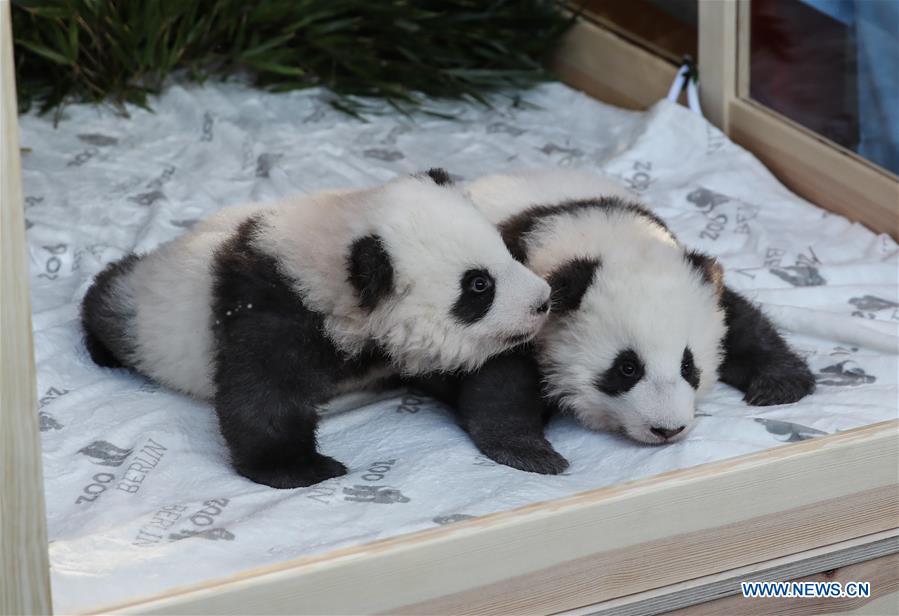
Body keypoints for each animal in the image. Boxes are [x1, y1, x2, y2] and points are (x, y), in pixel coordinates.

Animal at [80, 170, 552, 488]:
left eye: (507, 252)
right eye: (479, 285)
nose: (543, 301)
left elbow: (490, 380)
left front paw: (527, 450)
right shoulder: (271, 307)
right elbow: (263, 395)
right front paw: (302, 469)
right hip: (150, 312)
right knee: (110, 299)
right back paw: (100, 343)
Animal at [413, 169, 815, 474]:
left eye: (688, 366)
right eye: (627, 368)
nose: (666, 430)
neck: (607, 240)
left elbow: (742, 321)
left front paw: (780, 384)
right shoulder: (516, 304)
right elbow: (500, 381)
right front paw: (531, 453)